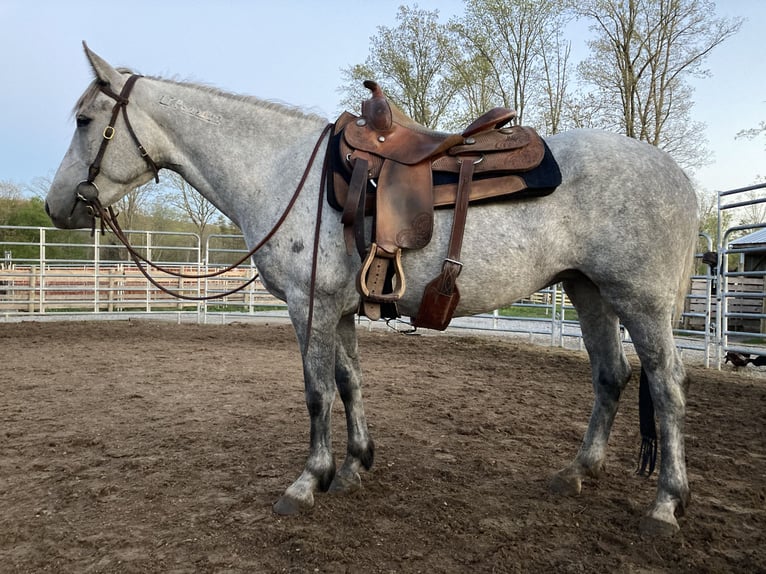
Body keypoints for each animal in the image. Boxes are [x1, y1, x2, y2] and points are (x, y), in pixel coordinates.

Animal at [45, 44, 700, 536]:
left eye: (83, 120)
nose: (56, 207)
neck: (284, 172)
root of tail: (678, 176)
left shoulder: (309, 307)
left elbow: (315, 393)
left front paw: (308, 480)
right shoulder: (339, 310)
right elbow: (348, 382)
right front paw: (356, 464)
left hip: (638, 301)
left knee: (666, 385)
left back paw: (666, 504)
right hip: (588, 291)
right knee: (611, 375)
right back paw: (576, 472)